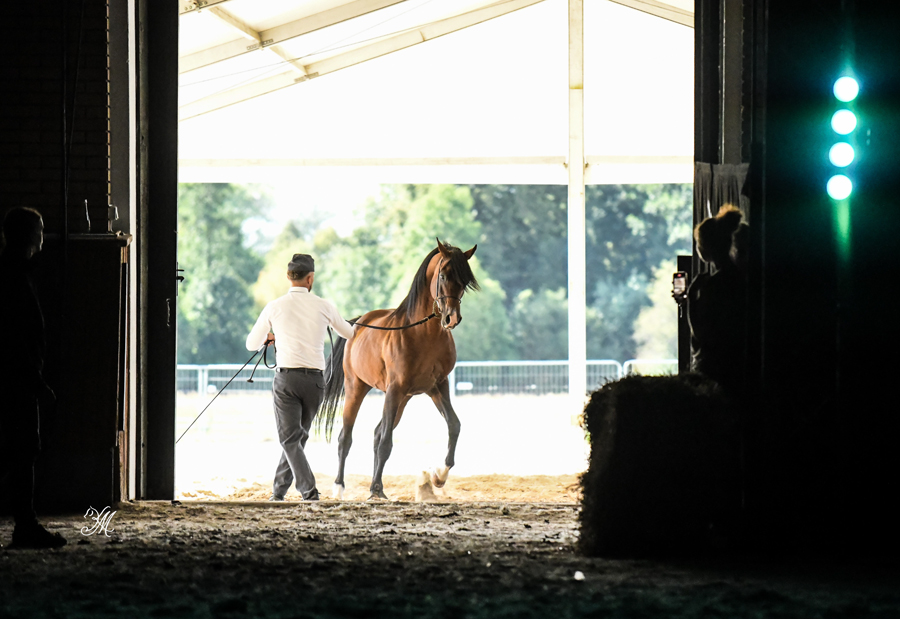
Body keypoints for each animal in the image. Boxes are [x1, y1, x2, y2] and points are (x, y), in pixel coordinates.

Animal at [320, 240, 482, 502]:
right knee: (346, 437)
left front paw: (438, 475)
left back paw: (376, 486)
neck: (422, 333)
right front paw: (375, 490)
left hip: (403, 398)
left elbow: (454, 425)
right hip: (358, 388)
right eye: (444, 275)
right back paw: (340, 488)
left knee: (377, 433)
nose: (451, 318)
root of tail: (357, 325)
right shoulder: (395, 389)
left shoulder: (438, 386)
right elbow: (386, 442)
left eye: (465, 281)